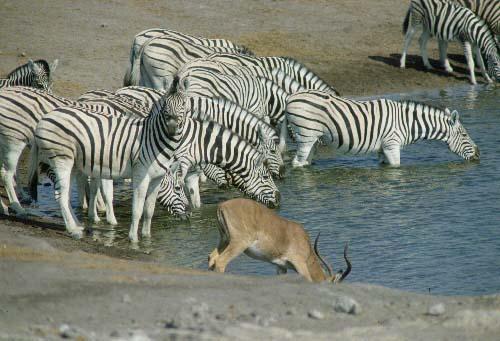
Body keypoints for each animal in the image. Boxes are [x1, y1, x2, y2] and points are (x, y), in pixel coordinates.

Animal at [207, 197, 352, 282]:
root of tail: (222, 205)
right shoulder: (300, 264)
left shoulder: (280, 267)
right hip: (238, 244)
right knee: (220, 262)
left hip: (225, 240)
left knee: (212, 257)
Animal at [284, 89, 478, 166]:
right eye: (464, 135)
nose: (479, 155)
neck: (407, 123)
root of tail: (290, 97)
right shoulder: (392, 145)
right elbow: (397, 168)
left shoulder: (383, 149)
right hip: (306, 135)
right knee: (297, 163)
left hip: (312, 138)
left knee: (305, 161)